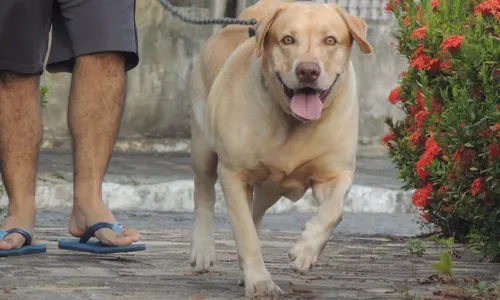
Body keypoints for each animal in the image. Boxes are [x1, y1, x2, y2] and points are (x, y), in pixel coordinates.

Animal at [189, 0, 374, 298]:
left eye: (330, 40)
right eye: (288, 39)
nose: (308, 70)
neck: (293, 123)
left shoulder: (334, 175)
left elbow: (334, 210)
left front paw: (305, 251)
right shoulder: (234, 173)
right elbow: (245, 235)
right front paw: (260, 282)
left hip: (270, 189)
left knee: (255, 212)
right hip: (203, 145)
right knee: (204, 191)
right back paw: (204, 250)